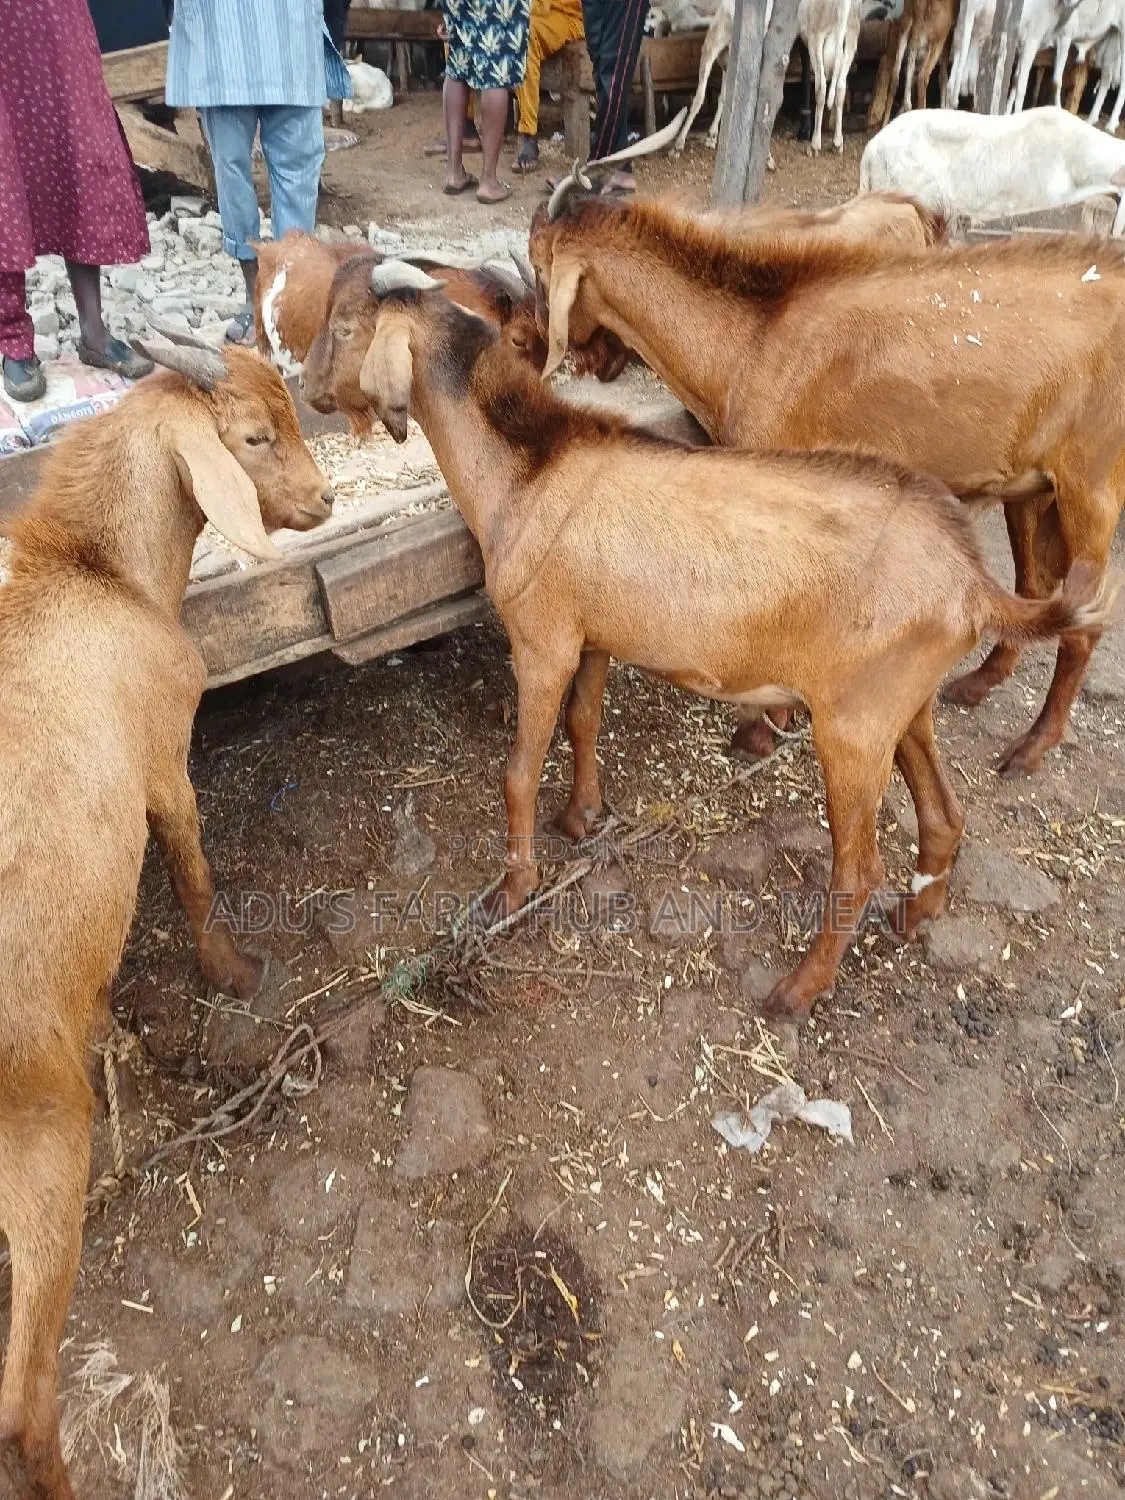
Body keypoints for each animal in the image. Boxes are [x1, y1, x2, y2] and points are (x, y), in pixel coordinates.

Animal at [0, 344, 332, 1500]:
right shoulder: (161, 762)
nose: (325, 500)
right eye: (254, 435)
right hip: (38, 1136)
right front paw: (233, 973)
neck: (94, 568)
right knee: (25, 1406)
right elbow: (189, 872)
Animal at [358, 262, 1113, 1023]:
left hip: (851, 727)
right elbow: (584, 720)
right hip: (902, 704)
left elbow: (517, 771)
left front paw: (513, 890)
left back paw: (797, 990)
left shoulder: (542, 640)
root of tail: (970, 581)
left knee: (860, 866)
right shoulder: (594, 634)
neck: (530, 466)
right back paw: (914, 915)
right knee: (944, 816)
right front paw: (581, 817)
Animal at [528, 190, 1125, 775]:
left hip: (1091, 483)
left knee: (1087, 622)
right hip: (1032, 485)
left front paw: (763, 727)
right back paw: (978, 683)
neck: (750, 338)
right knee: (1037, 586)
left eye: (538, 269)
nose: (555, 351)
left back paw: (1032, 746)